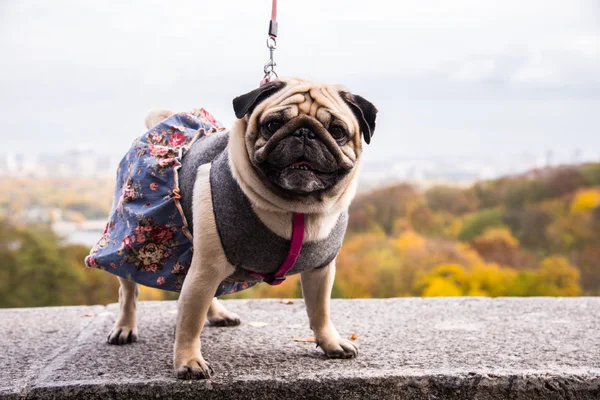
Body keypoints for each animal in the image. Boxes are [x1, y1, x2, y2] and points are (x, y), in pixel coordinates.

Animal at [92, 77, 378, 378]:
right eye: (272, 125)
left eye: (337, 131)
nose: (304, 133)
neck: (297, 209)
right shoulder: (206, 268)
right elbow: (189, 321)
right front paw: (188, 361)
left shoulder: (320, 270)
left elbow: (320, 311)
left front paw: (330, 343)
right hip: (134, 238)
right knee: (129, 291)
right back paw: (124, 328)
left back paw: (218, 315)